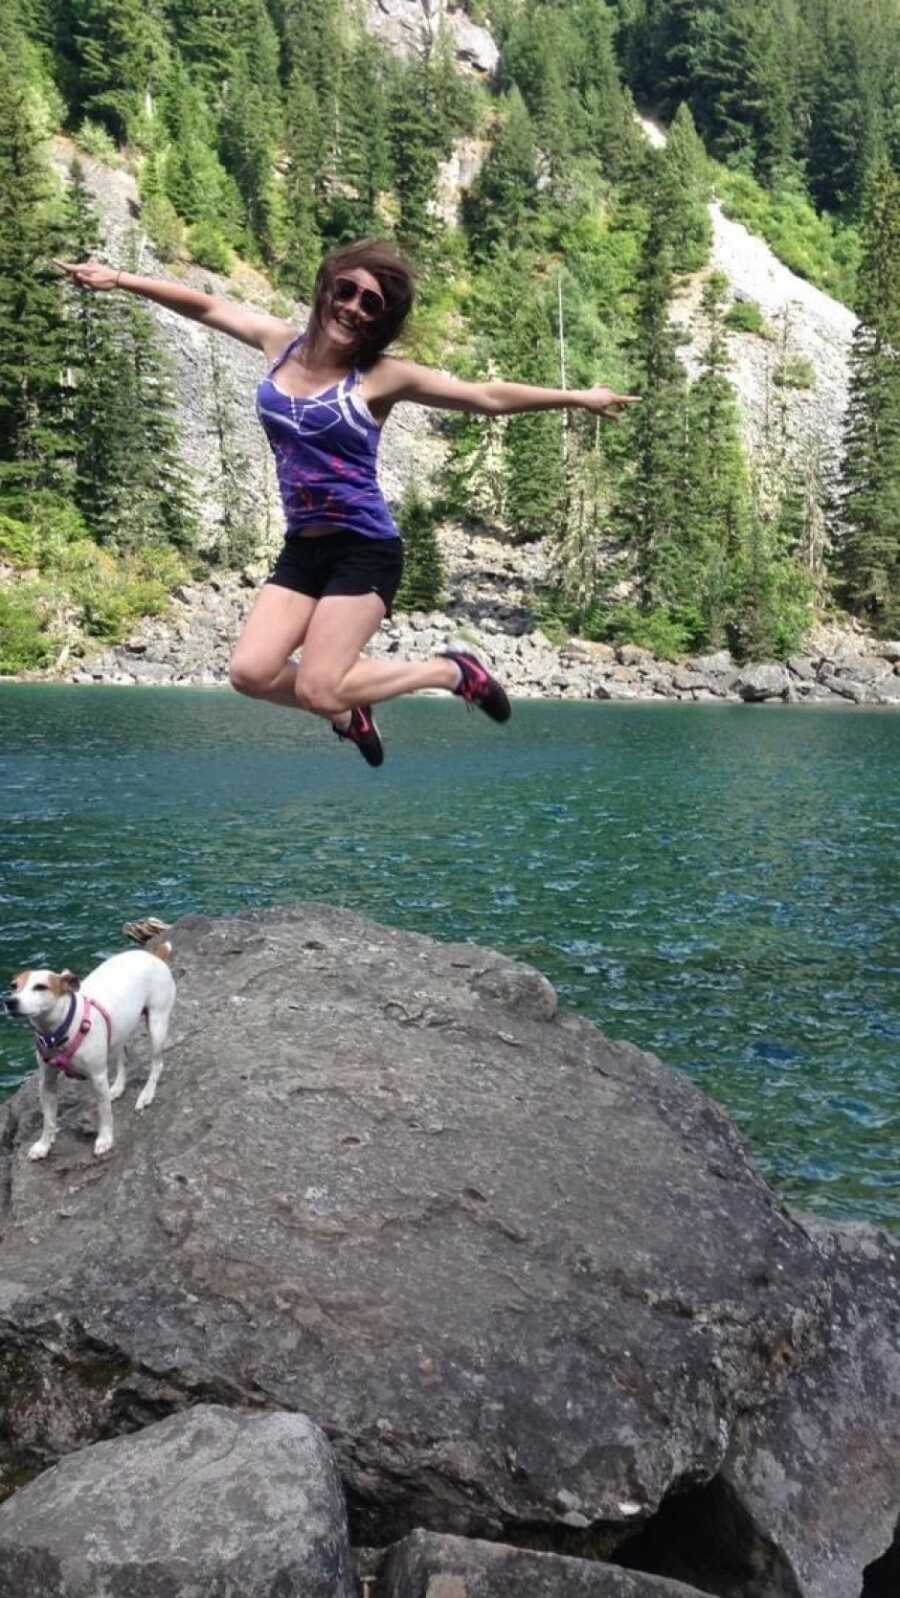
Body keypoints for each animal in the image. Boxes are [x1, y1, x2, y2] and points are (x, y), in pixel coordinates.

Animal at [4, 946, 178, 1163]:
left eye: (40, 987)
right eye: (13, 986)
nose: (10, 1001)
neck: (60, 1031)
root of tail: (154, 955)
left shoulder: (97, 1077)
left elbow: (104, 1113)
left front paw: (105, 1139)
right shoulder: (47, 1083)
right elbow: (49, 1120)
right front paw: (44, 1145)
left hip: (157, 1024)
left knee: (157, 1064)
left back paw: (146, 1095)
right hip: (120, 1030)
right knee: (124, 1058)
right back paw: (117, 1088)